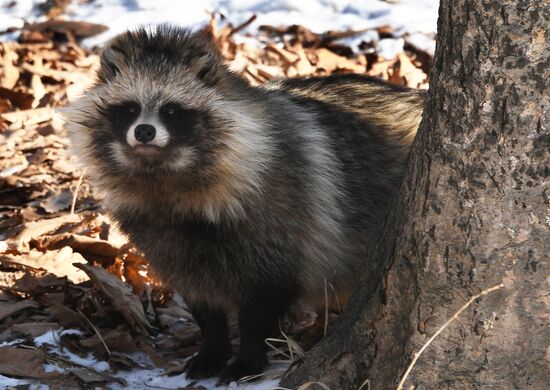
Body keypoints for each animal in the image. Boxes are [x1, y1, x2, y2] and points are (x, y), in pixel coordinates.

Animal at [66, 26, 426, 384]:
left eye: (171, 110)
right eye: (129, 108)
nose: (143, 131)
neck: (167, 179)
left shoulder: (280, 209)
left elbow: (263, 298)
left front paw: (249, 356)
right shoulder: (160, 234)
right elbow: (199, 294)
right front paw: (213, 345)